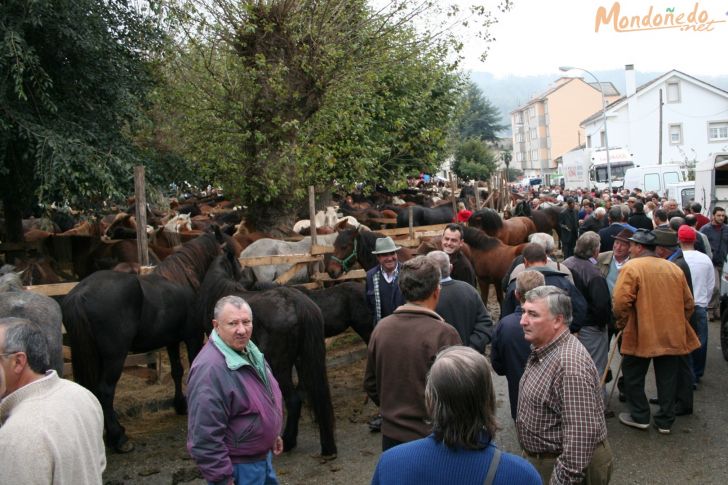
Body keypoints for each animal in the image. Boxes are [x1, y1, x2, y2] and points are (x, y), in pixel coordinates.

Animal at [62, 229, 225, 452]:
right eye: (227, 251)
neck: (182, 280)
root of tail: (81, 294)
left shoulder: (172, 340)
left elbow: (177, 371)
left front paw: (180, 405)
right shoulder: (192, 337)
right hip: (115, 357)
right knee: (105, 390)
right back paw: (119, 438)